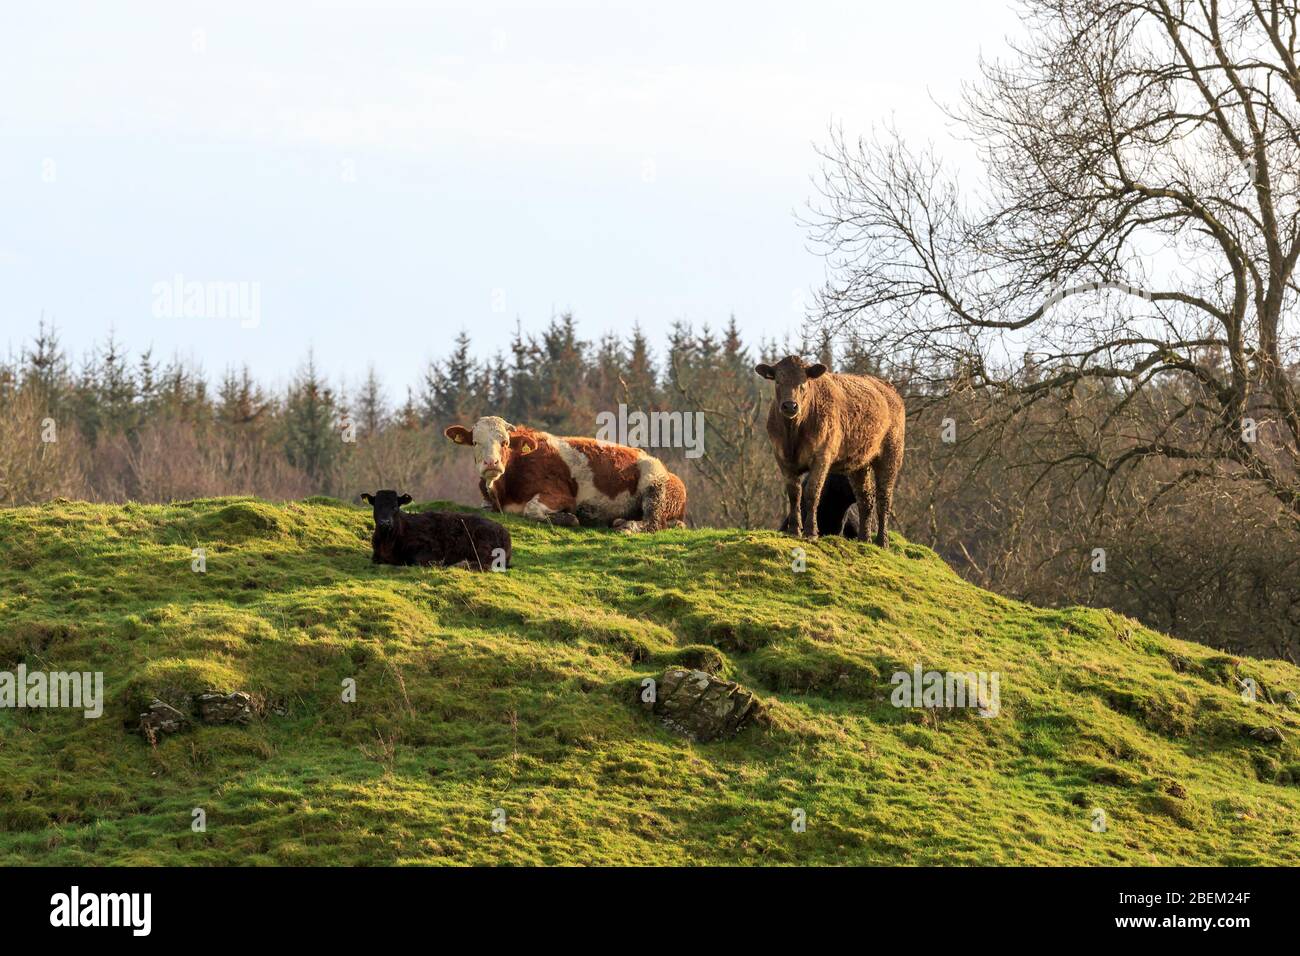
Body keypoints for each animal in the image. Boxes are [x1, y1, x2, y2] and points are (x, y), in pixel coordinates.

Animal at [364, 489, 514, 572]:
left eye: (395, 506)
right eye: (376, 506)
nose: (385, 522)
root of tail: (504, 532)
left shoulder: (431, 549)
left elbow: (420, 561)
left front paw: (438, 563)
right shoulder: (376, 556)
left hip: (485, 547)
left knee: (485, 564)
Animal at [754, 356, 904, 546]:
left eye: (804, 382)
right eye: (778, 381)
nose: (790, 406)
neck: (793, 434)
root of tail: (887, 387)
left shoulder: (821, 457)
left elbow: (812, 492)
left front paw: (811, 532)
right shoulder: (783, 459)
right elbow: (794, 493)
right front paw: (794, 531)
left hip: (891, 454)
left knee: (884, 497)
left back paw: (882, 542)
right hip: (859, 463)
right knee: (865, 498)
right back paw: (864, 539)